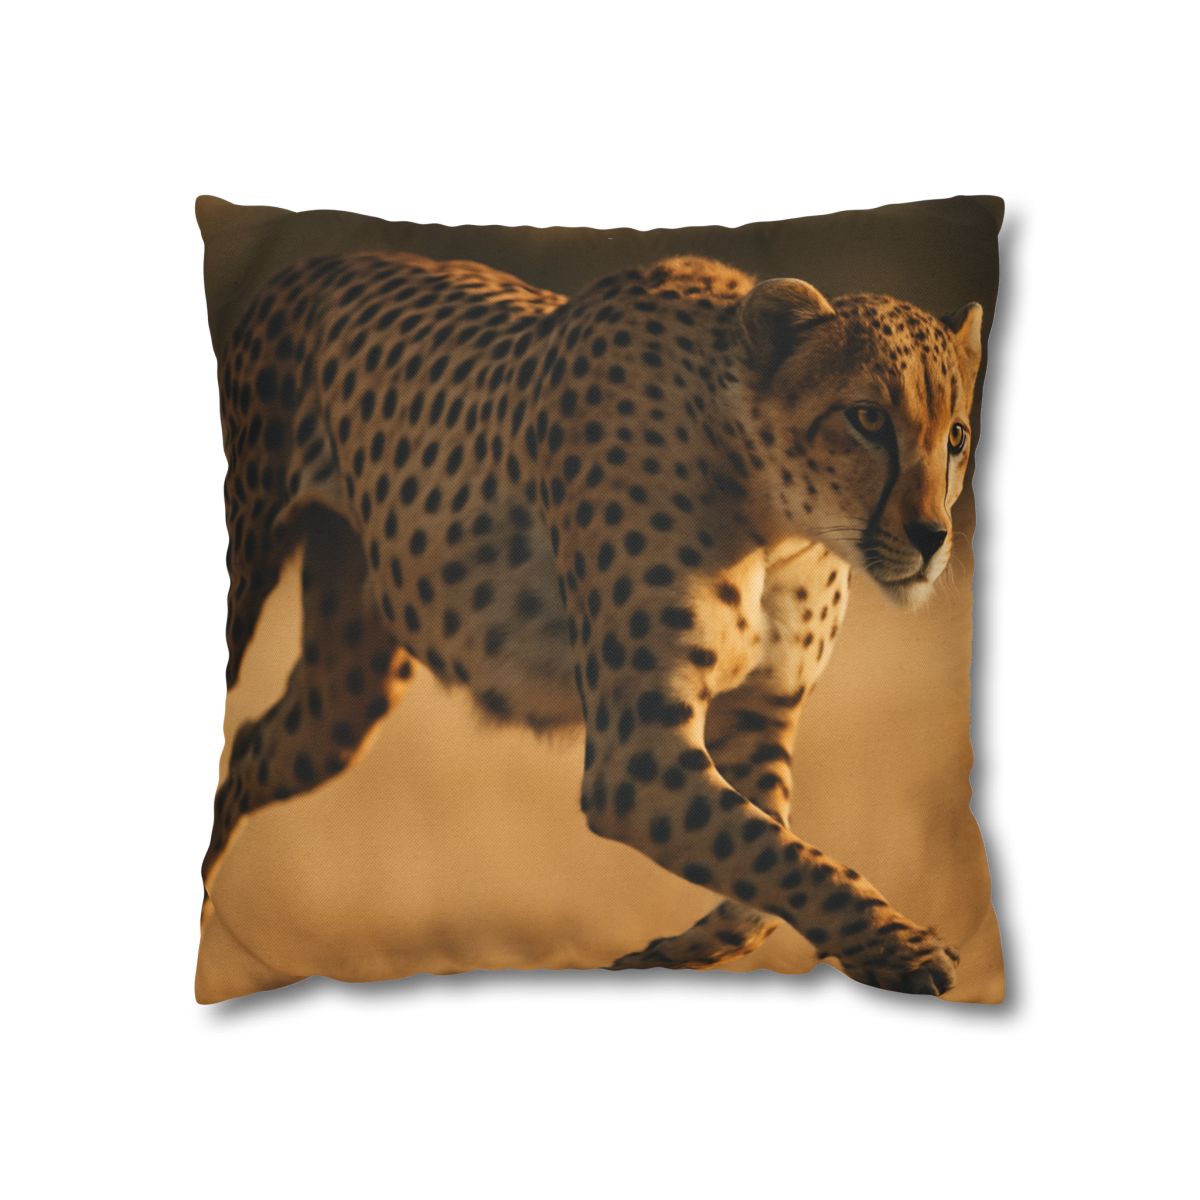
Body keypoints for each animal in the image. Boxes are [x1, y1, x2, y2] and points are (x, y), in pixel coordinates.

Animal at [205, 248, 983, 996]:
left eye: (956, 437)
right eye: (868, 419)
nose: (932, 538)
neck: (776, 519)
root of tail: (306, 265)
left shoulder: (759, 716)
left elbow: (769, 864)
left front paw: (668, 955)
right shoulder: (634, 758)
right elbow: (777, 854)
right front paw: (904, 947)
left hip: (345, 695)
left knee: (251, 745)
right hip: (247, 578)